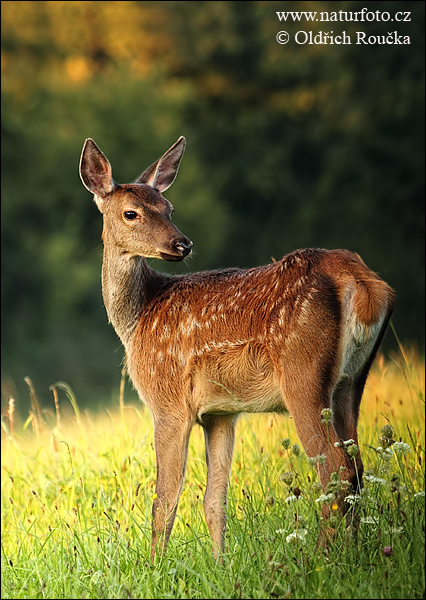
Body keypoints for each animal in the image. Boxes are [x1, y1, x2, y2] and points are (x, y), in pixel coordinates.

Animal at [79, 136, 392, 564]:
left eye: (169, 208)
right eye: (132, 213)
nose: (182, 243)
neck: (139, 316)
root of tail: (363, 282)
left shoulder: (168, 401)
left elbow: (165, 499)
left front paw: (155, 567)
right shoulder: (221, 412)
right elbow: (214, 500)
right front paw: (219, 564)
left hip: (303, 373)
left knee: (337, 471)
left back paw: (321, 559)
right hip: (352, 380)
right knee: (358, 468)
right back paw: (355, 552)